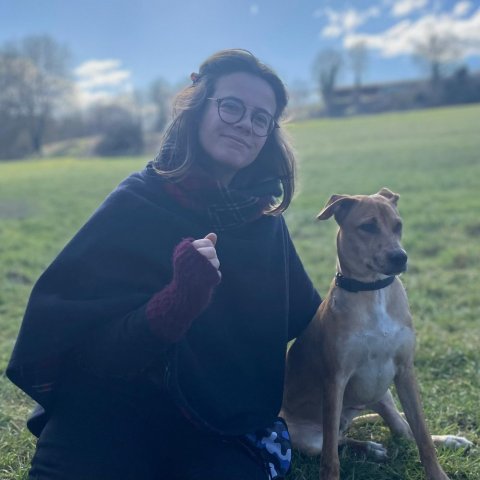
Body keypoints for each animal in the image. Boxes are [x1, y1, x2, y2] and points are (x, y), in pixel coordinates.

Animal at [282, 188, 472, 480]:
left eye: (398, 225)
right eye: (368, 227)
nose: (400, 257)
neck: (373, 292)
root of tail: (350, 418)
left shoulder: (405, 371)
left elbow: (422, 434)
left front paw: (438, 474)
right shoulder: (335, 380)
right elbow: (330, 457)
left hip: (386, 397)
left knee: (404, 431)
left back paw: (451, 440)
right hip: (305, 435)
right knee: (335, 441)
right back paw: (370, 448)